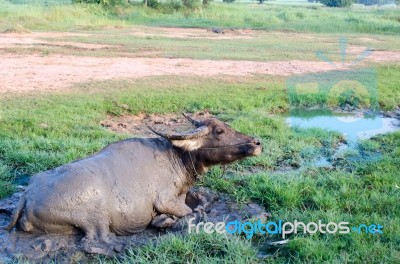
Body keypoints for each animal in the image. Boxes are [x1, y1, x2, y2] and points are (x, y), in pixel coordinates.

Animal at [3, 113, 262, 252]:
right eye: (219, 131)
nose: (257, 142)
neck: (176, 158)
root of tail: (27, 195)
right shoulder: (166, 201)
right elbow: (193, 211)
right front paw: (164, 220)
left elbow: (205, 199)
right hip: (96, 219)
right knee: (97, 240)